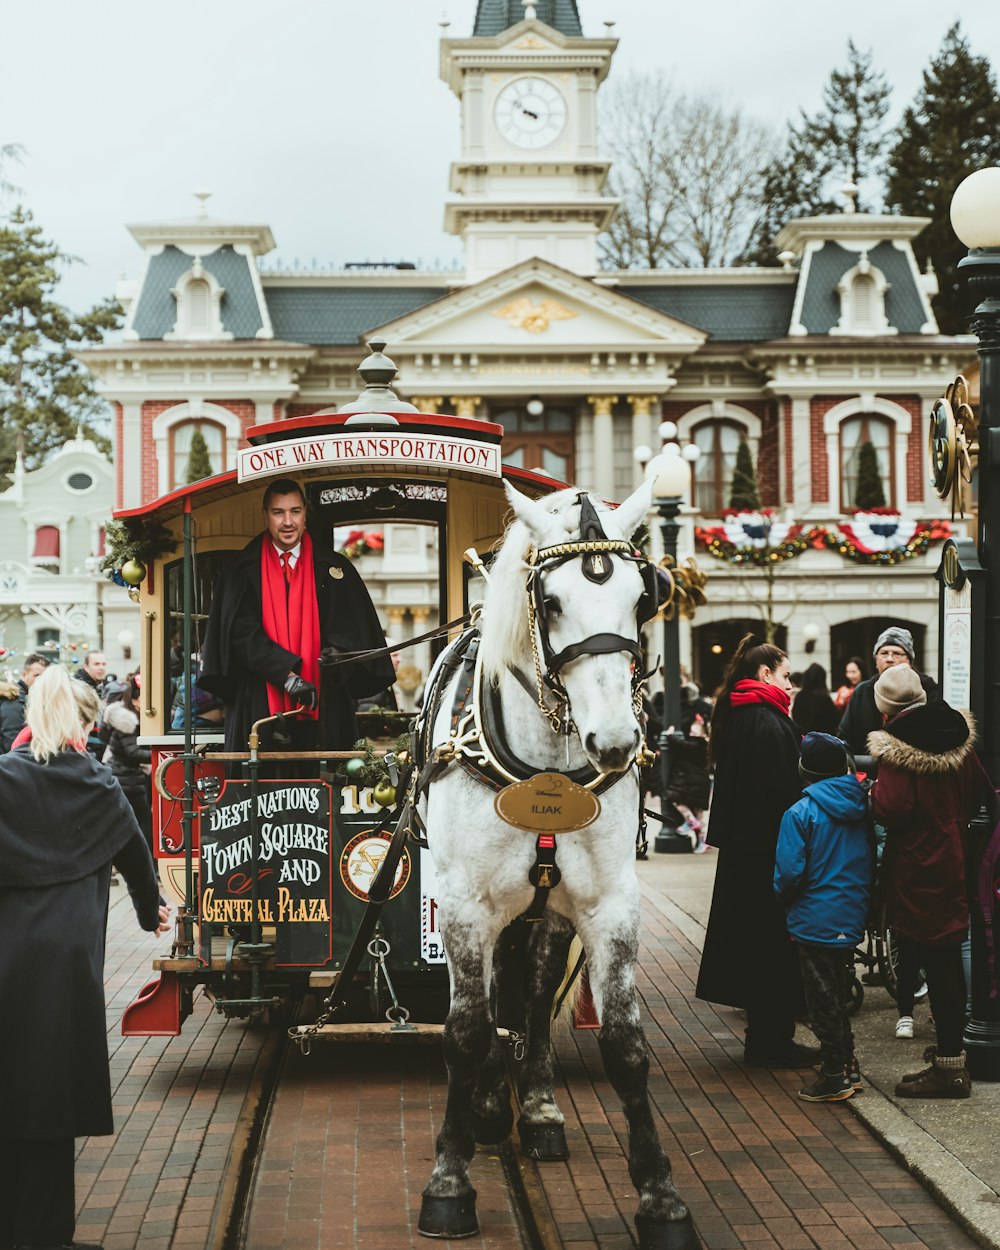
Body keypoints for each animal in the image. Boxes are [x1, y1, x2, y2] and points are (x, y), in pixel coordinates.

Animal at [417, 480, 700, 1250]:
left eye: (642, 597)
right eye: (549, 601)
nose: (616, 740)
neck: (544, 766)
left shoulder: (609, 904)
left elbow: (625, 1044)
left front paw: (660, 1195)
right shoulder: (464, 905)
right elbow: (465, 1029)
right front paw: (448, 1181)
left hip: (548, 910)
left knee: (536, 992)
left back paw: (535, 1109)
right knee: (500, 996)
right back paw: (489, 1107)